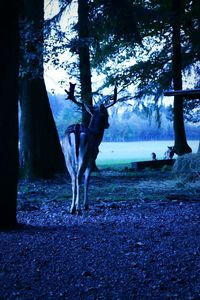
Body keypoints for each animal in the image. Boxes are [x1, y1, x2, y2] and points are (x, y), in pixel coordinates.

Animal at [61, 81, 116, 213]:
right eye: (106, 115)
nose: (108, 125)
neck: (96, 137)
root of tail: (76, 128)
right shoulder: (93, 157)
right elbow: (88, 180)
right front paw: (86, 205)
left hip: (67, 156)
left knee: (73, 178)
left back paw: (72, 207)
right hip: (85, 154)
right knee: (79, 176)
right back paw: (78, 208)